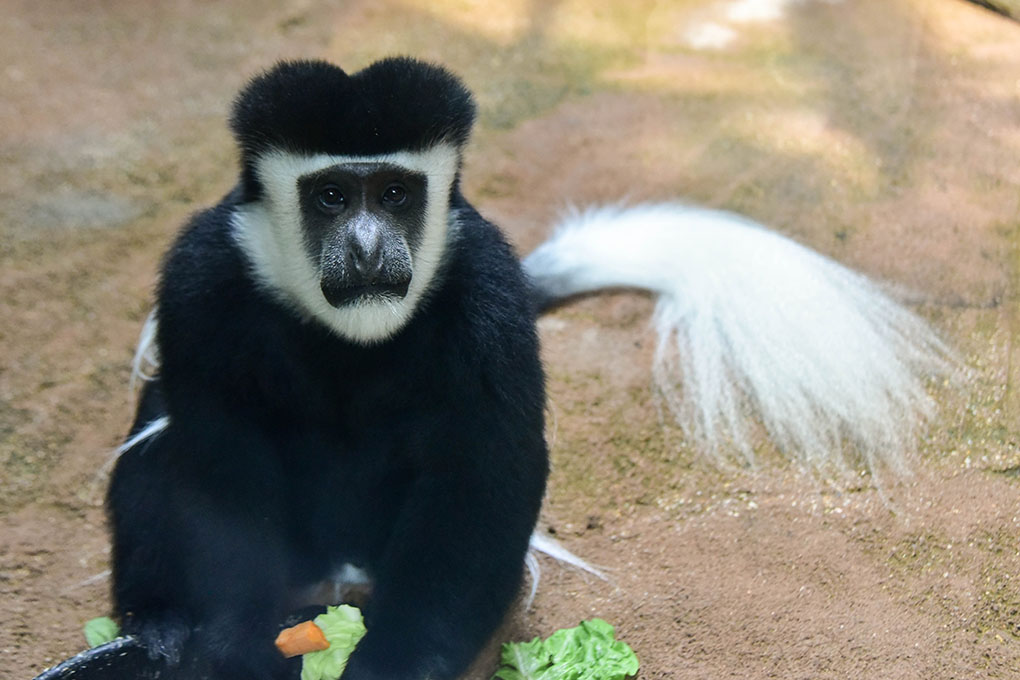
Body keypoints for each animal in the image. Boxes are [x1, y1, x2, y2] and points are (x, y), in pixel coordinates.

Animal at [107, 57, 950, 680]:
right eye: (331, 197)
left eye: (395, 192)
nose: (370, 250)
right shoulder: (202, 277)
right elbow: (220, 462)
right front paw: (234, 648)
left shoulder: (488, 292)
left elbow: (482, 470)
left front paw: (387, 664)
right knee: (157, 449)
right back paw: (156, 627)